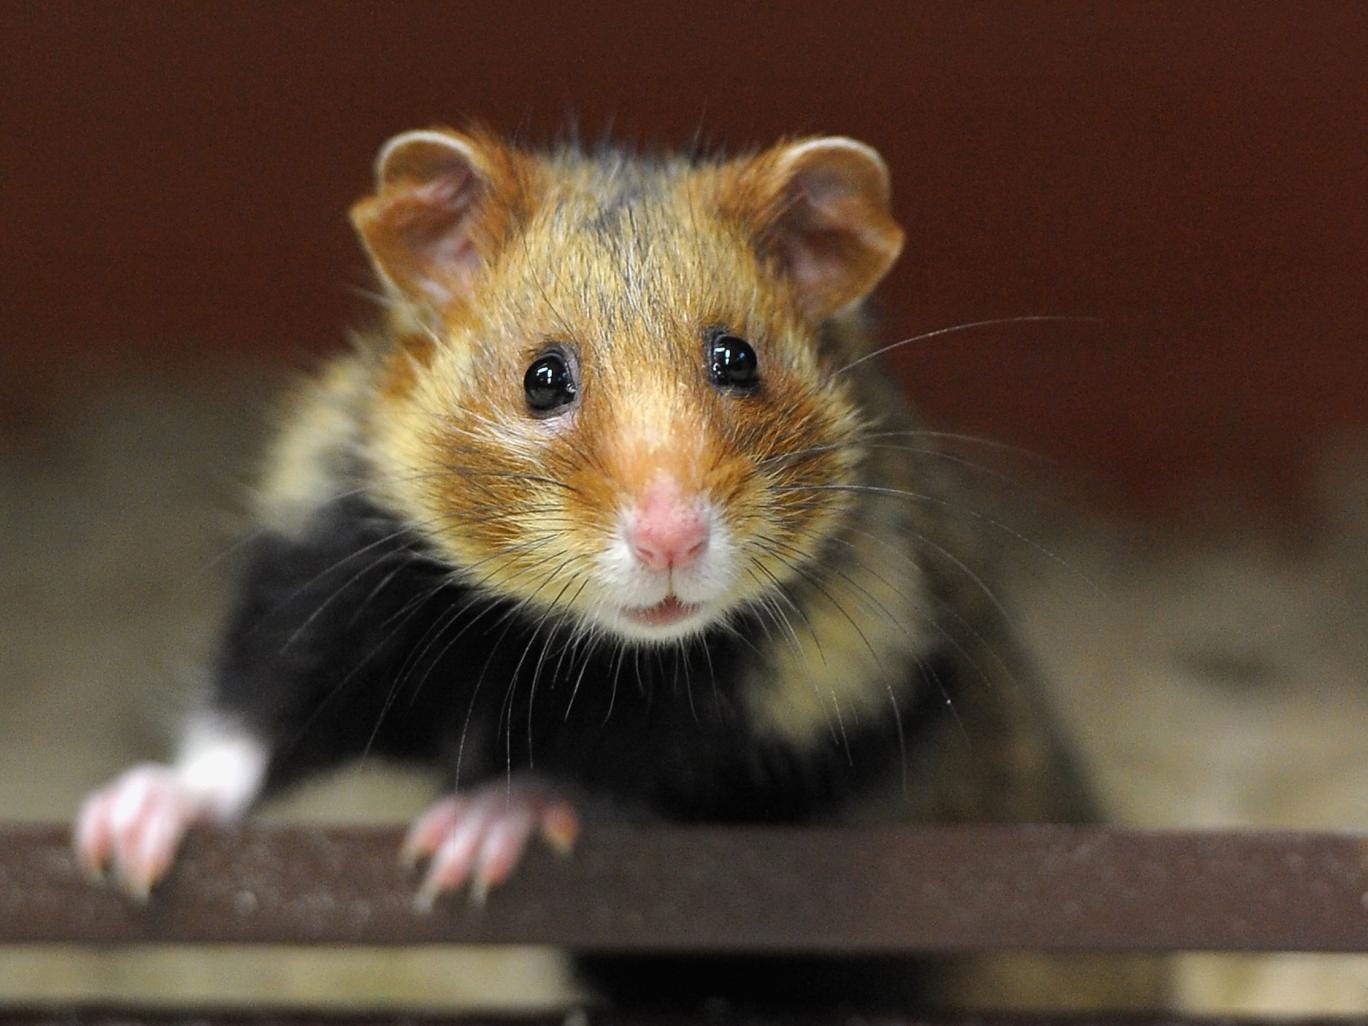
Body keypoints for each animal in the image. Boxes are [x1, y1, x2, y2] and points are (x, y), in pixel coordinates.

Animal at [74, 126, 1107, 998]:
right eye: (543, 378)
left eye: (738, 359)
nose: (671, 542)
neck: (566, 641)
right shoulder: (328, 567)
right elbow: (245, 727)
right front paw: (120, 836)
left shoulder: (801, 705)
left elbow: (608, 769)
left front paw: (466, 841)